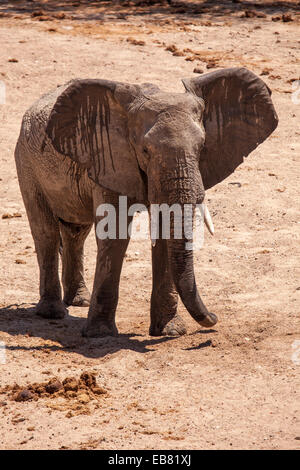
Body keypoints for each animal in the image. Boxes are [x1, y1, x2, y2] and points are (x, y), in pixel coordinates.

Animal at [13, 67, 276, 338]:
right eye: (146, 150)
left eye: (202, 146)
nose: (214, 318)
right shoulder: (109, 159)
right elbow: (115, 234)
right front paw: (100, 333)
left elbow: (163, 234)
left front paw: (170, 331)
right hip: (26, 161)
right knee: (45, 231)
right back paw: (53, 312)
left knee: (76, 231)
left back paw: (80, 301)